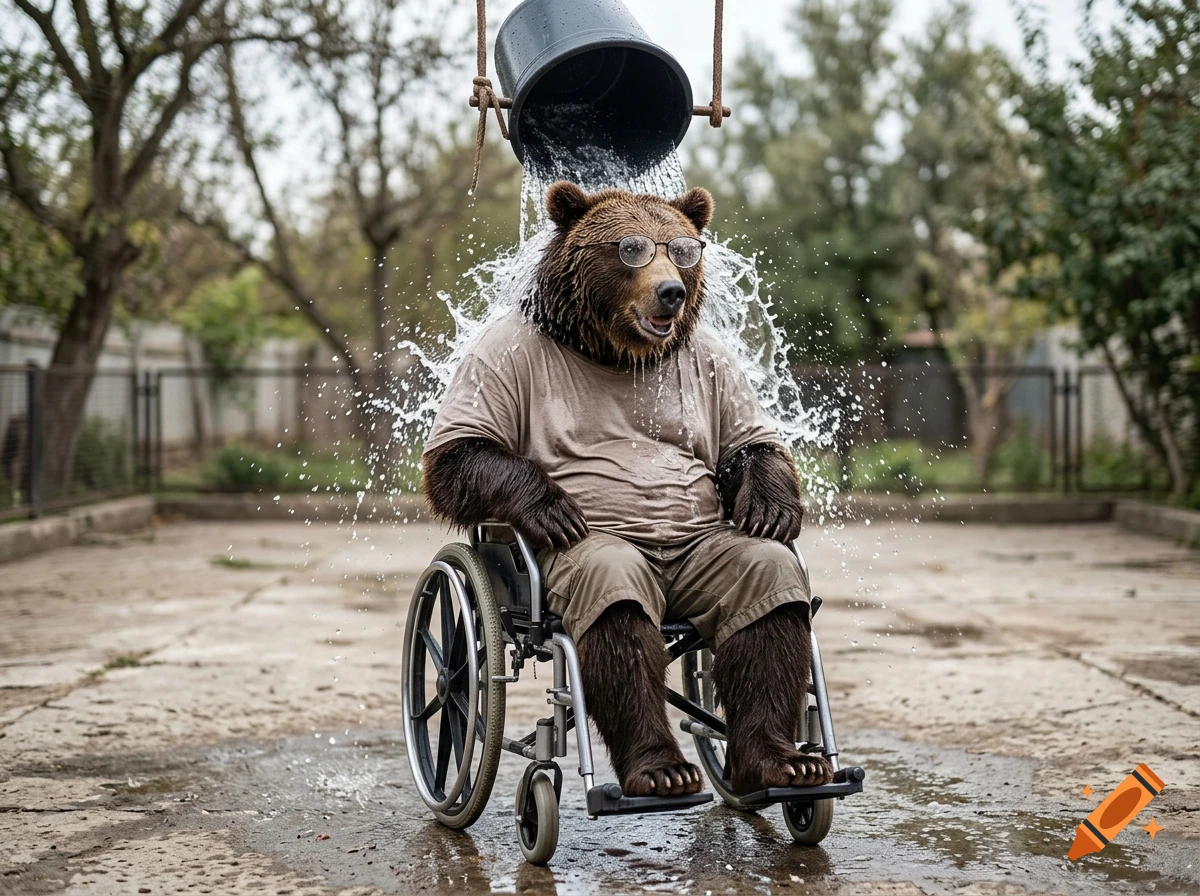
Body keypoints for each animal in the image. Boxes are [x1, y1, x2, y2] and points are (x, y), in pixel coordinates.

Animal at [421, 181, 833, 797]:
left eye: (682, 251)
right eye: (630, 249)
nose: (670, 292)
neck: (613, 351)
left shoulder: (712, 368)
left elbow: (746, 446)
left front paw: (771, 510)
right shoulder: (501, 359)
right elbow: (459, 457)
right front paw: (551, 509)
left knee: (770, 584)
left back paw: (783, 761)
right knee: (609, 596)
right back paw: (659, 768)